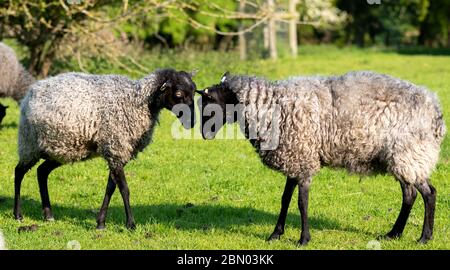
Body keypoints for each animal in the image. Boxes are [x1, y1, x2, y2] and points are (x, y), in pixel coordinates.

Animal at [15, 68, 197, 230]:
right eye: (178, 94)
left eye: (194, 92)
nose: (192, 122)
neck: (137, 100)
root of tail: (32, 91)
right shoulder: (116, 148)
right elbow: (124, 189)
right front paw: (130, 224)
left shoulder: (116, 152)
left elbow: (111, 187)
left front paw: (101, 223)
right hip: (29, 144)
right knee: (19, 172)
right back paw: (18, 215)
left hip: (60, 149)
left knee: (42, 172)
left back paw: (48, 215)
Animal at [198, 70, 446, 246]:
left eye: (211, 107)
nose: (204, 135)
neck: (271, 108)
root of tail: (436, 114)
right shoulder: (294, 158)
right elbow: (285, 199)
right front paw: (276, 234)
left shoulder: (303, 160)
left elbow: (302, 202)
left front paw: (303, 239)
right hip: (402, 158)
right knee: (410, 194)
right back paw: (394, 234)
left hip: (411, 153)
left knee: (429, 194)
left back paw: (424, 238)